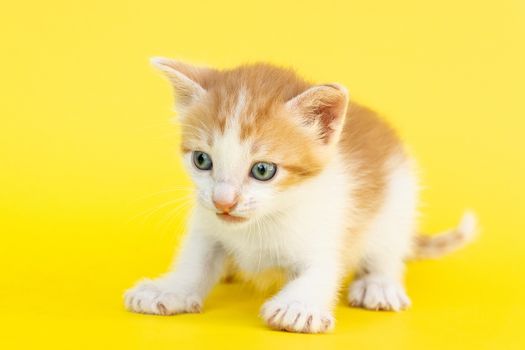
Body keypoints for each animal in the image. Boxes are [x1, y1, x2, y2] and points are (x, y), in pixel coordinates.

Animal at [125, 58, 476, 334]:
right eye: (202, 160)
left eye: (263, 170)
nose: (224, 201)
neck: (260, 223)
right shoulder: (207, 225)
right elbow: (196, 260)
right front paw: (168, 289)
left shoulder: (327, 225)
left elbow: (323, 268)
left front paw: (297, 306)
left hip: (398, 200)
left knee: (387, 249)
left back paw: (379, 284)